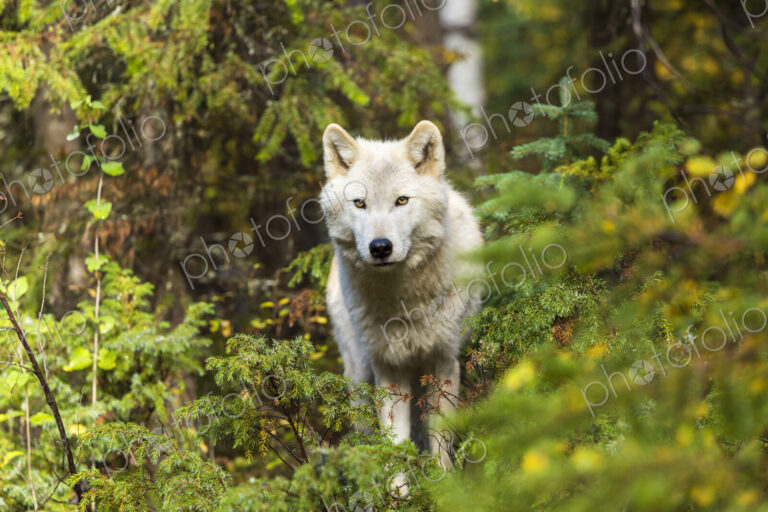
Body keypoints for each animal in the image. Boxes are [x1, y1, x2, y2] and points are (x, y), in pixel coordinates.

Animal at [320, 120, 483, 464]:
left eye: (402, 200)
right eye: (360, 203)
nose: (380, 247)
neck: (405, 303)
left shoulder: (443, 361)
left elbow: (440, 439)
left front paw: (443, 476)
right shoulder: (388, 367)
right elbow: (394, 441)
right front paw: (398, 481)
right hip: (358, 373)